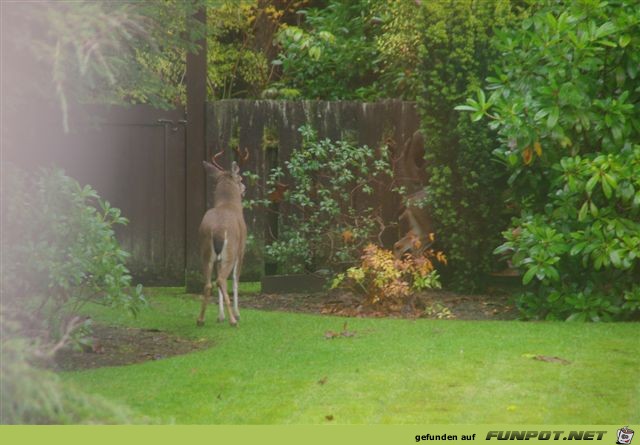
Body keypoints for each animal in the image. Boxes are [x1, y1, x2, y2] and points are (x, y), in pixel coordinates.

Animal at [196, 149, 246, 326]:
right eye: (240, 178)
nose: (244, 188)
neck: (229, 204)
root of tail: (218, 230)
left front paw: (220, 315)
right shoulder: (241, 249)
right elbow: (236, 280)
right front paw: (236, 314)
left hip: (205, 253)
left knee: (209, 283)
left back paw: (200, 319)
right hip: (229, 252)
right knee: (221, 280)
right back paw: (233, 320)